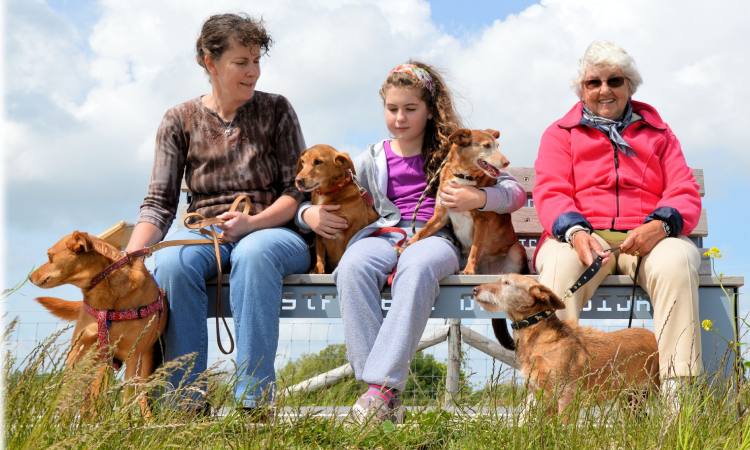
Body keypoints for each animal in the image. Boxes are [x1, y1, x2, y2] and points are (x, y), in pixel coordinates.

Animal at [29, 232, 167, 418]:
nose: (29, 277)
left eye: (50, 256)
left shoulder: (132, 355)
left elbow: (126, 396)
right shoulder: (79, 351)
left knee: (140, 396)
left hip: (142, 364)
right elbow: (67, 394)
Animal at [296, 144, 382, 272]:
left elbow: (346, 248)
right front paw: (318, 270)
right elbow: (320, 256)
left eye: (318, 162)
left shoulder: (355, 226)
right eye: (302, 161)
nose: (297, 181)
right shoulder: (319, 231)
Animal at [408, 126, 524, 274]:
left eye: (498, 146)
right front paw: (405, 246)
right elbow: (422, 232)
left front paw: (469, 270)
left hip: (516, 250)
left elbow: (475, 249)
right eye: (487, 146)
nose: (506, 162)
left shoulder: (481, 220)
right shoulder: (441, 216)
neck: (463, 175)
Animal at [476, 270, 656, 414]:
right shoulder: (542, 396)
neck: (538, 335)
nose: (475, 290)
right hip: (632, 397)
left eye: (506, 283)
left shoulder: (566, 394)